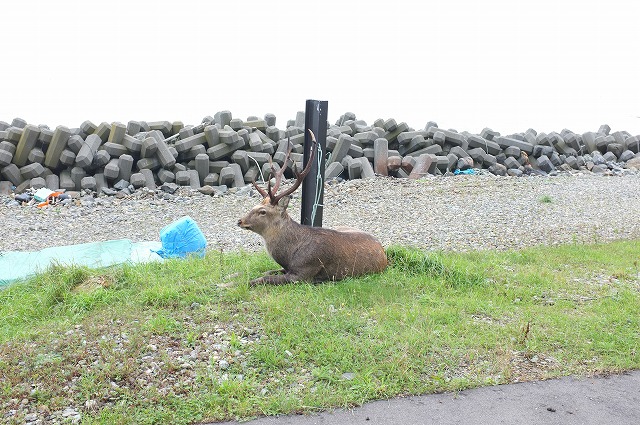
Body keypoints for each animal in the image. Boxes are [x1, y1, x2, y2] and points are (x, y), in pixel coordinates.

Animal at [238, 127, 388, 284]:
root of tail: (385, 254)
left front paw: (233, 283)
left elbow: (263, 278)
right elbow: (266, 271)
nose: (240, 221)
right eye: (253, 206)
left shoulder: (304, 272)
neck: (289, 256)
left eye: (262, 211)